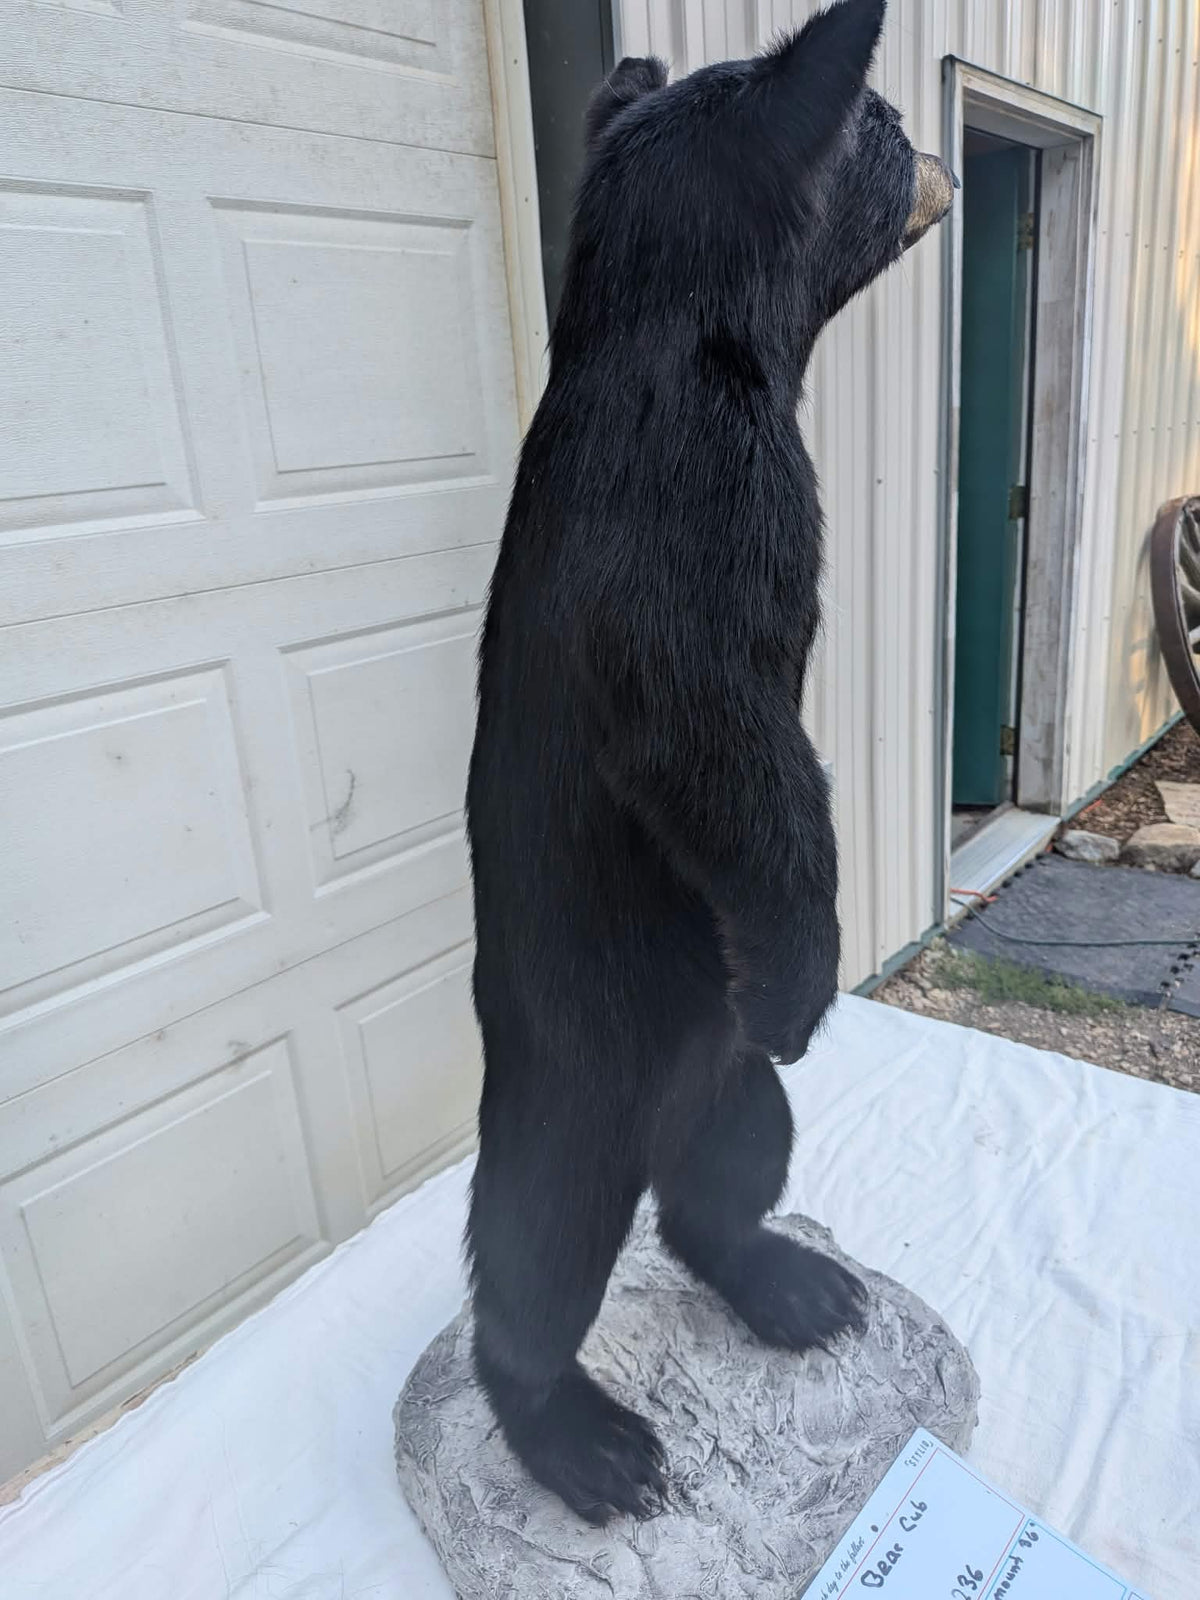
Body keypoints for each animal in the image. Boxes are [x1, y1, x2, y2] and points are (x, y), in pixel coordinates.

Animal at [464, 0, 954, 1527]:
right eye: (882, 124)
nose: (940, 160)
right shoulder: (699, 502)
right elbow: (720, 748)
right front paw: (808, 973)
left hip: (723, 1082)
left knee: (730, 1178)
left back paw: (793, 1281)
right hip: (570, 1083)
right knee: (535, 1255)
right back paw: (584, 1437)